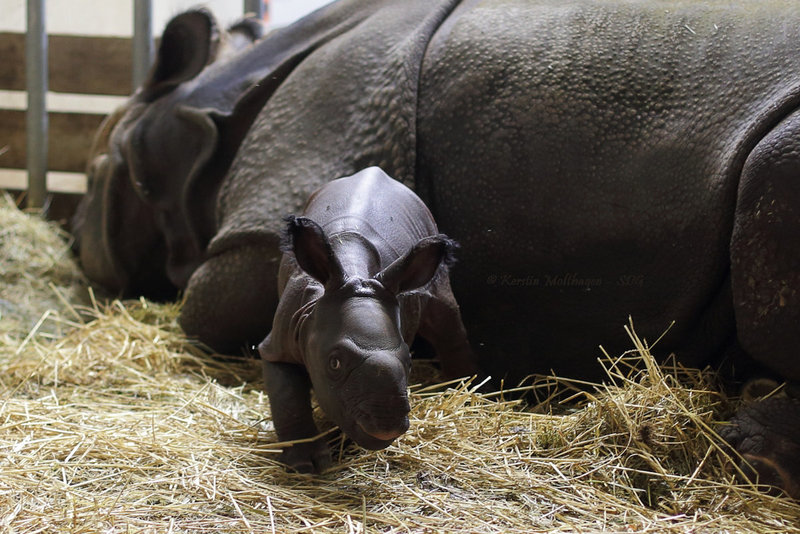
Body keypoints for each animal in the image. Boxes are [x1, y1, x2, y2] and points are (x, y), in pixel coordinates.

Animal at [260, 166, 478, 474]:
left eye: (409, 362)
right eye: (334, 363)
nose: (388, 425)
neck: (354, 274)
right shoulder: (279, 342)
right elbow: (287, 398)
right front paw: (306, 464)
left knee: (445, 317)